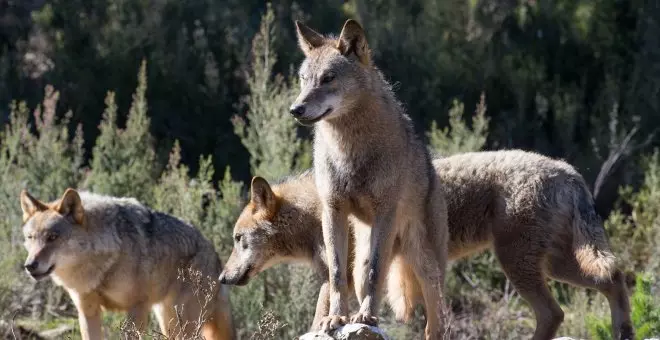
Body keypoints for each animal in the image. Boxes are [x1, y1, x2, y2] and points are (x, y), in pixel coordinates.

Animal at [20, 189, 235, 340]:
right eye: (30, 238)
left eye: (52, 237)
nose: (30, 265)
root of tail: (215, 255)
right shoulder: (87, 311)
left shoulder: (138, 308)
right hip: (168, 320)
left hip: (181, 323)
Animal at [220, 151, 636, 340]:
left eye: (238, 241)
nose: (222, 278)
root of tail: (569, 171)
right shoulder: (339, 276)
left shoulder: (345, 275)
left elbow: (323, 315)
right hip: (556, 266)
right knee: (615, 279)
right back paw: (624, 332)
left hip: (521, 266)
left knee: (554, 312)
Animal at [292, 19, 452, 338]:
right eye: (304, 79)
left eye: (328, 78)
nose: (296, 109)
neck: (349, 150)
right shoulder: (333, 210)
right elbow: (336, 274)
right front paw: (336, 318)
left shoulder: (385, 211)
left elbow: (377, 274)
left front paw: (367, 317)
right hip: (364, 257)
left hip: (424, 263)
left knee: (436, 321)